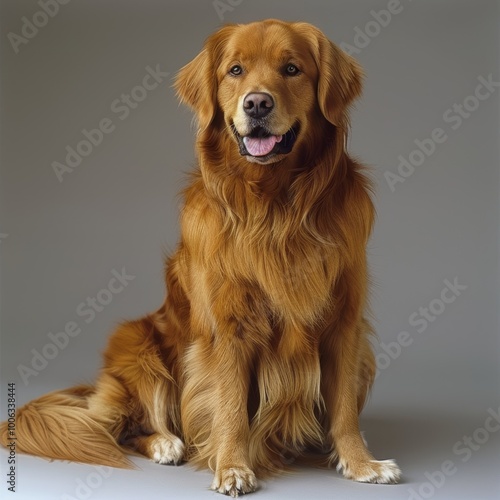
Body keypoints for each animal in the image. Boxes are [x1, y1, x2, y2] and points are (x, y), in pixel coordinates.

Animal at [0, 18, 400, 496]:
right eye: (235, 70)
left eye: (291, 69)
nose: (257, 103)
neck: (274, 207)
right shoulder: (228, 329)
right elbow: (229, 405)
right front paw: (232, 466)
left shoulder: (344, 323)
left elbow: (342, 409)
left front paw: (360, 463)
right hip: (140, 346)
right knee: (127, 427)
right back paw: (166, 443)